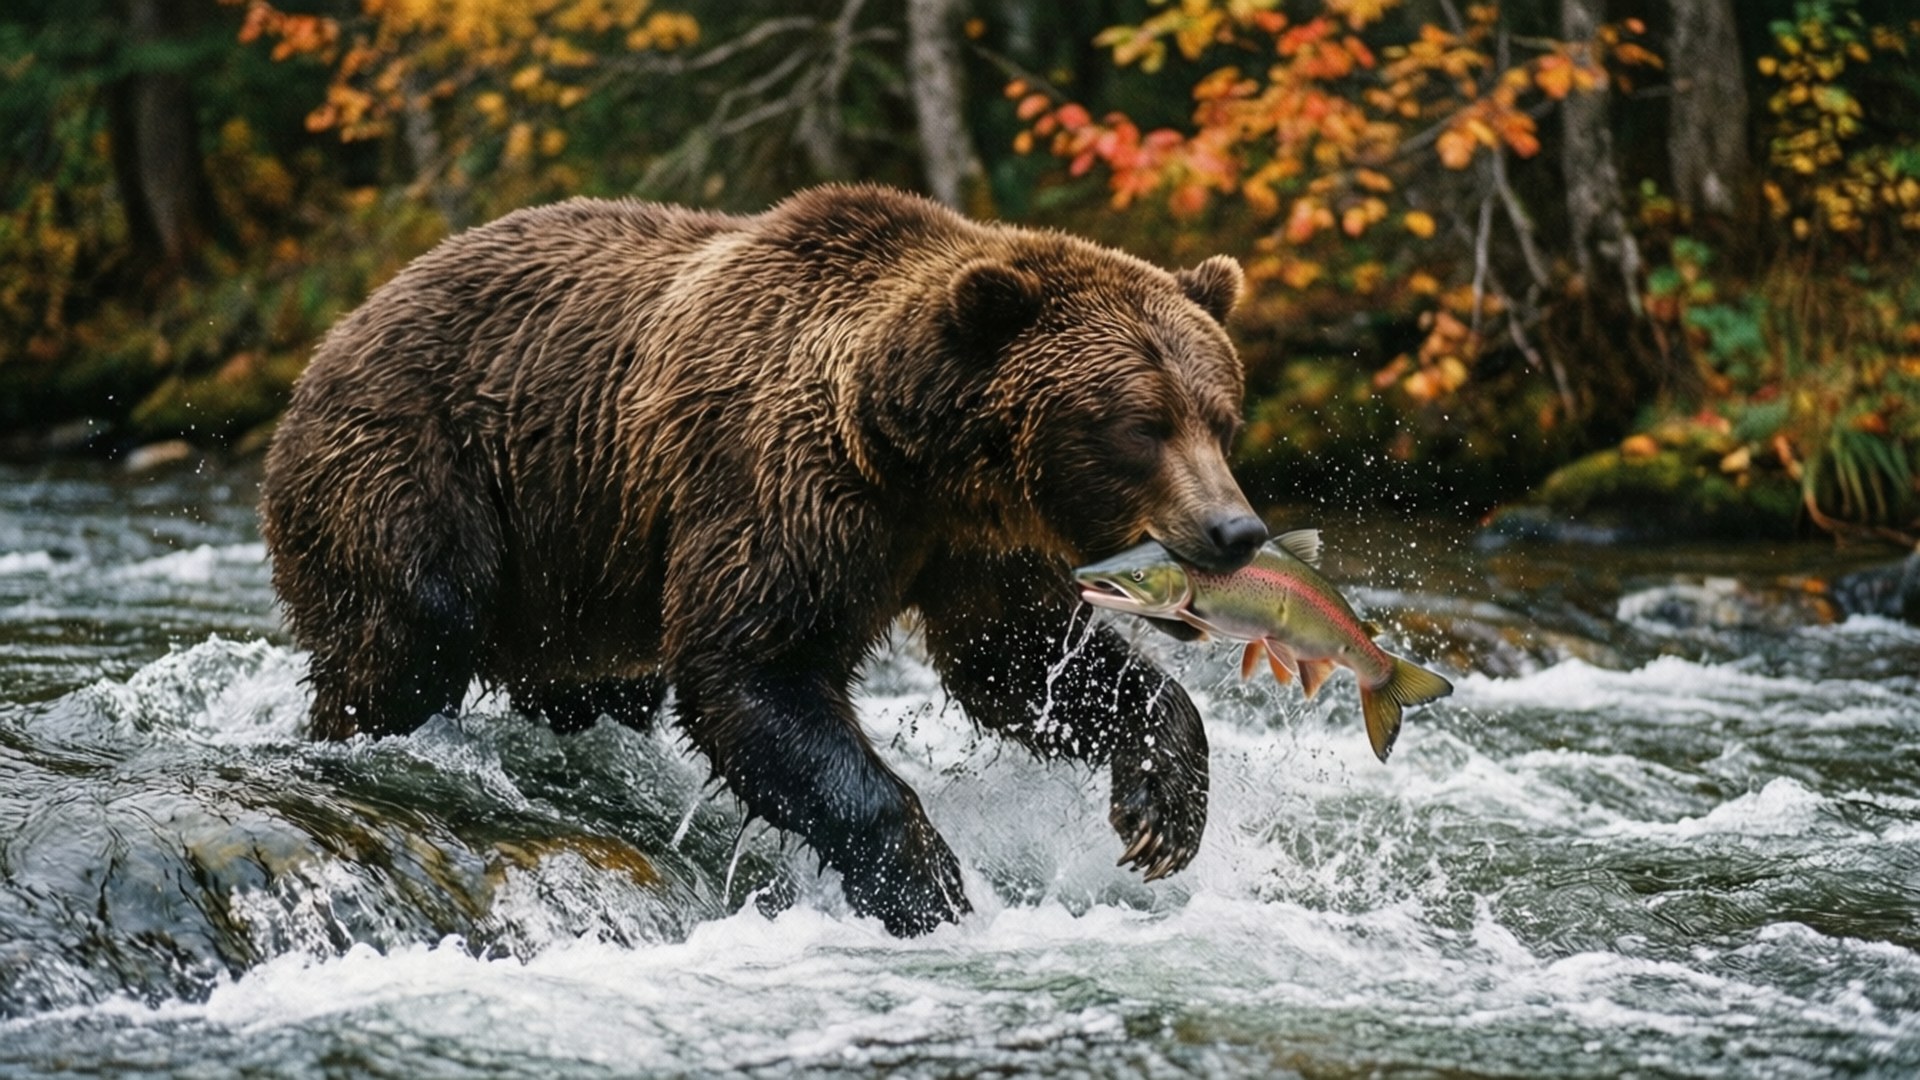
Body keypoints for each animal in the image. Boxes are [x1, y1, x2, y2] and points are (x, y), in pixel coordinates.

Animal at [259, 184, 1266, 935]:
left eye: (1220, 417)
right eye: (1141, 425)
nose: (1236, 529)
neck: (912, 454)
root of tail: (336, 333)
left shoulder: (971, 542)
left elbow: (1020, 658)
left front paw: (1163, 810)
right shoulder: (781, 485)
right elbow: (755, 670)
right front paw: (930, 884)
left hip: (571, 569)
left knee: (586, 684)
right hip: (420, 467)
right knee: (410, 626)